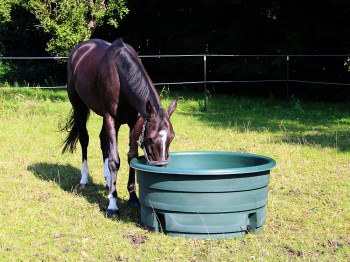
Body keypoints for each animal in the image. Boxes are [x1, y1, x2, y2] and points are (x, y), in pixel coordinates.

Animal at [60, 38, 178, 217]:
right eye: (150, 138)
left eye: (171, 137)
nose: (161, 168)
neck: (121, 74)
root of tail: (79, 49)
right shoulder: (111, 119)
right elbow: (114, 161)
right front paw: (112, 205)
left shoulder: (136, 121)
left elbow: (131, 156)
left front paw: (133, 198)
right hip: (79, 106)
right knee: (84, 139)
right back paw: (84, 180)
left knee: (103, 141)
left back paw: (109, 182)